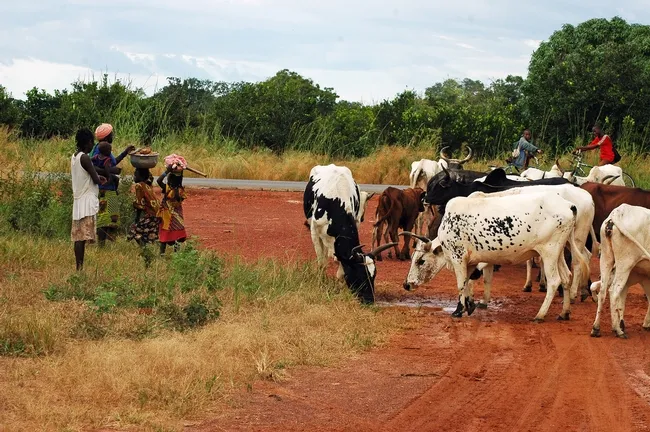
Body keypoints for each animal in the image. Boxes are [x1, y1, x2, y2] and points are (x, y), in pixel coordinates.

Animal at [303, 164, 396, 303]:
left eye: (374, 275)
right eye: (360, 274)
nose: (369, 299)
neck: (336, 202)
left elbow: (341, 271)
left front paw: (340, 289)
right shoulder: (315, 232)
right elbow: (322, 263)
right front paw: (321, 283)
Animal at [404, 192, 589, 322]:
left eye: (421, 261)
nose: (406, 284)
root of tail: (569, 206)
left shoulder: (458, 259)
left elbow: (461, 284)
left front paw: (458, 311)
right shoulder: (471, 262)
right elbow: (468, 283)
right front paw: (469, 306)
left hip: (549, 253)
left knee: (554, 282)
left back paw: (540, 315)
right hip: (559, 253)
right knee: (566, 277)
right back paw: (564, 313)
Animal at [590, 204, 650, 338]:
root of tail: (618, 212)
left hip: (606, 258)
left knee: (602, 291)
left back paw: (596, 328)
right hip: (625, 264)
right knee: (613, 291)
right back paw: (618, 330)